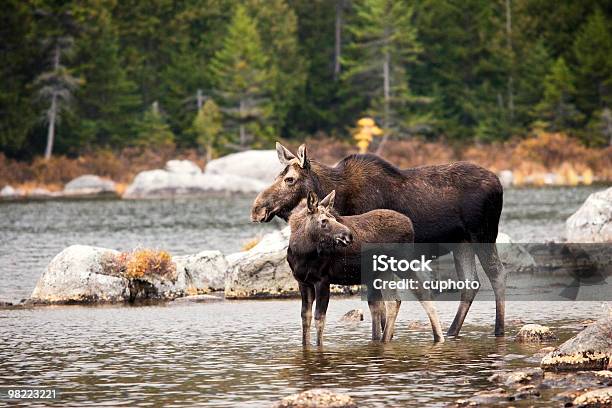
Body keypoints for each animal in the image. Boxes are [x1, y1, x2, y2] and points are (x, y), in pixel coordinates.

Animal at [251, 143, 504, 334]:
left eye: (290, 179)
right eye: (277, 176)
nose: (257, 209)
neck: (338, 198)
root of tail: (499, 183)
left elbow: (380, 306)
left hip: (483, 234)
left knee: (497, 273)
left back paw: (498, 330)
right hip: (461, 242)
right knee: (470, 283)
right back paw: (451, 332)